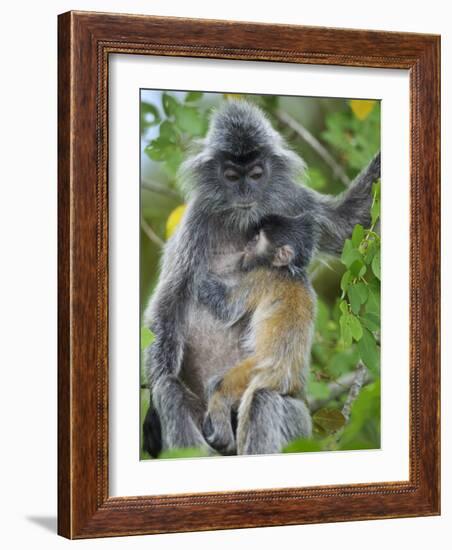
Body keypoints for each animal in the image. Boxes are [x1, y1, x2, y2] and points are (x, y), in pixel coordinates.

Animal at [198, 213, 318, 454]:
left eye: (256, 240)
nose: (246, 246)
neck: (289, 272)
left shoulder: (263, 276)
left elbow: (227, 308)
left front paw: (202, 280)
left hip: (257, 372)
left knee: (253, 398)